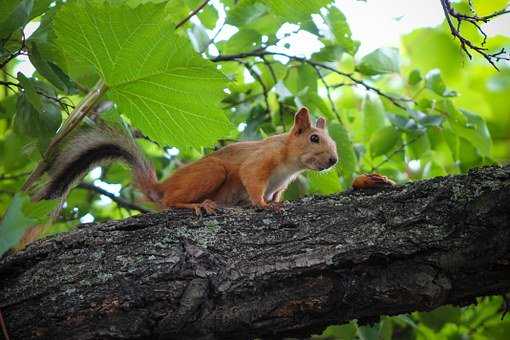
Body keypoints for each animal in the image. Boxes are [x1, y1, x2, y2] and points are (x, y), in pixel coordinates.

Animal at [35, 106, 342, 214]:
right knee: (171, 202)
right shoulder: (260, 160)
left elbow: (277, 193)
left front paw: (277, 201)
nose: (334, 159)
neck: (290, 164)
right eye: (314, 138)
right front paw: (264, 205)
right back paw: (198, 205)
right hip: (211, 173)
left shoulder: (281, 183)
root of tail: (159, 187)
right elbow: (252, 179)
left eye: (334, 142)